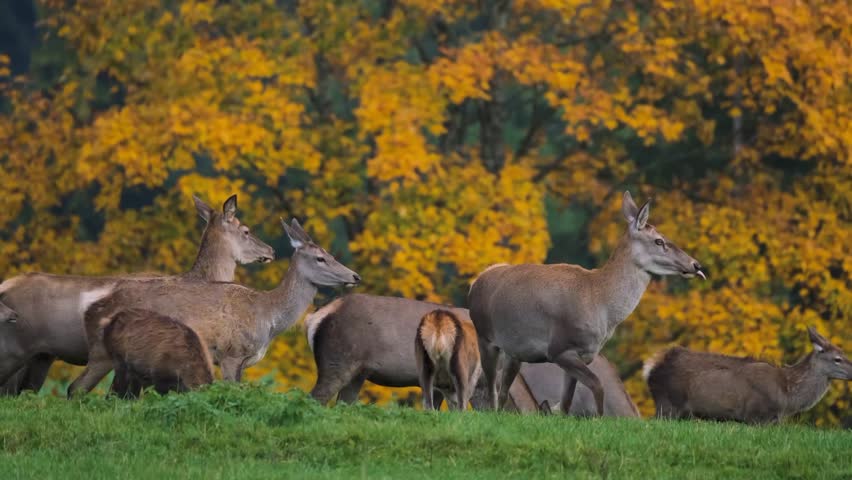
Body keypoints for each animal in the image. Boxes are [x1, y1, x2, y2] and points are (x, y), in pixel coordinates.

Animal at [0, 195, 275, 394]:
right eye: (246, 230)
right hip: (19, 348)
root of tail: (4, 286)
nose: (270, 250)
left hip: (42, 356)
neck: (201, 277)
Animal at [67, 219, 360, 397]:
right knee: (79, 388)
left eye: (330, 254)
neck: (268, 317)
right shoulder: (231, 353)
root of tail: (91, 310)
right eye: (320, 258)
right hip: (106, 352)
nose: (355, 276)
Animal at [468, 191, 705, 415]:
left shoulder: (583, 354)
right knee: (490, 389)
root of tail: (477, 281)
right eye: (659, 241)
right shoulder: (559, 348)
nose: (696, 264)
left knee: (503, 391)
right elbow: (597, 386)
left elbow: (566, 403)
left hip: (513, 352)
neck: (603, 307)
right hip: (485, 336)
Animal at [644, 327, 852, 424]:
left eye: (842, 353)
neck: (787, 397)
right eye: (837, 359)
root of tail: (651, 369)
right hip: (668, 404)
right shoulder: (756, 416)